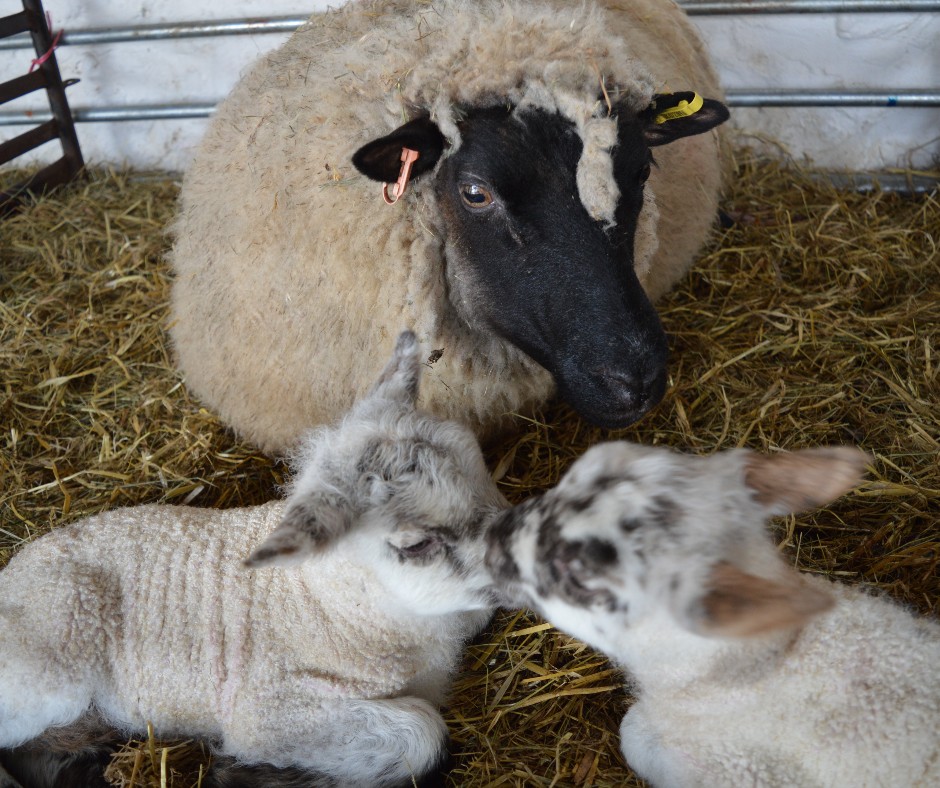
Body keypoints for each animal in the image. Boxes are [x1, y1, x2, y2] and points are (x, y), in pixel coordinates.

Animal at [0, 331, 510, 788]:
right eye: (414, 545)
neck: (333, 605)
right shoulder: (270, 711)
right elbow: (423, 733)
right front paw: (244, 771)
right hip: (49, 674)